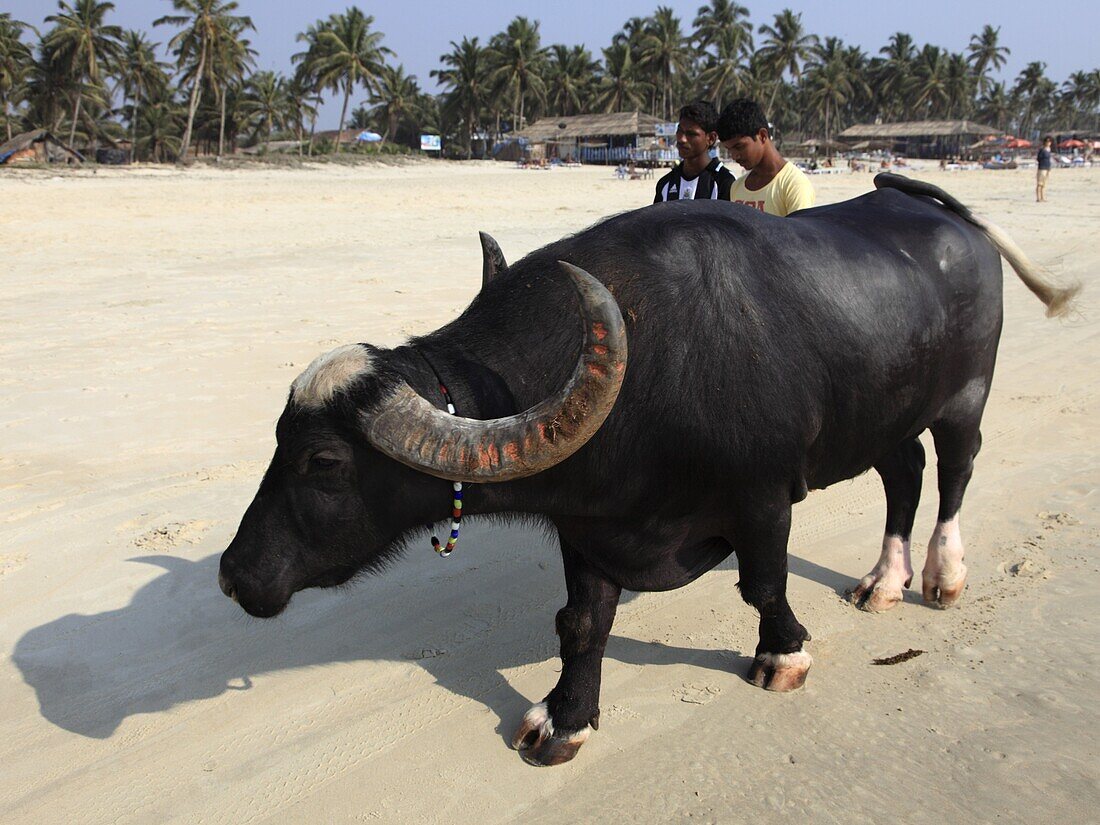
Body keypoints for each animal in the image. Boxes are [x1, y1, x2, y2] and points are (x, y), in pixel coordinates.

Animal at [218, 172, 1078, 770]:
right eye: (277, 438)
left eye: (325, 460)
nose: (234, 573)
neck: (653, 368)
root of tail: (954, 220)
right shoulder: (590, 525)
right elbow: (580, 622)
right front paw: (563, 718)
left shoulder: (763, 499)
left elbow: (764, 585)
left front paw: (783, 656)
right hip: (883, 413)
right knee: (904, 470)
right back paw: (883, 581)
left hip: (965, 395)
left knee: (956, 469)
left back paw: (942, 575)